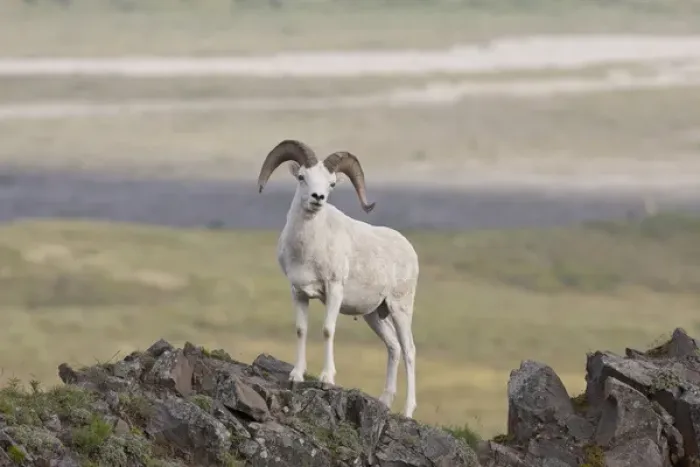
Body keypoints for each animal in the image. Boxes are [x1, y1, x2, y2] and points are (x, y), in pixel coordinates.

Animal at [256, 139, 420, 418]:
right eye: (302, 177)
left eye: (331, 184)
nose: (318, 198)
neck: (308, 249)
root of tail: (409, 249)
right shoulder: (298, 292)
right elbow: (301, 329)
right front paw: (296, 376)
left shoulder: (333, 290)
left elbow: (327, 329)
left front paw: (326, 379)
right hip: (374, 315)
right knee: (393, 347)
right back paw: (384, 401)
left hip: (400, 308)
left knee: (408, 350)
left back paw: (408, 412)